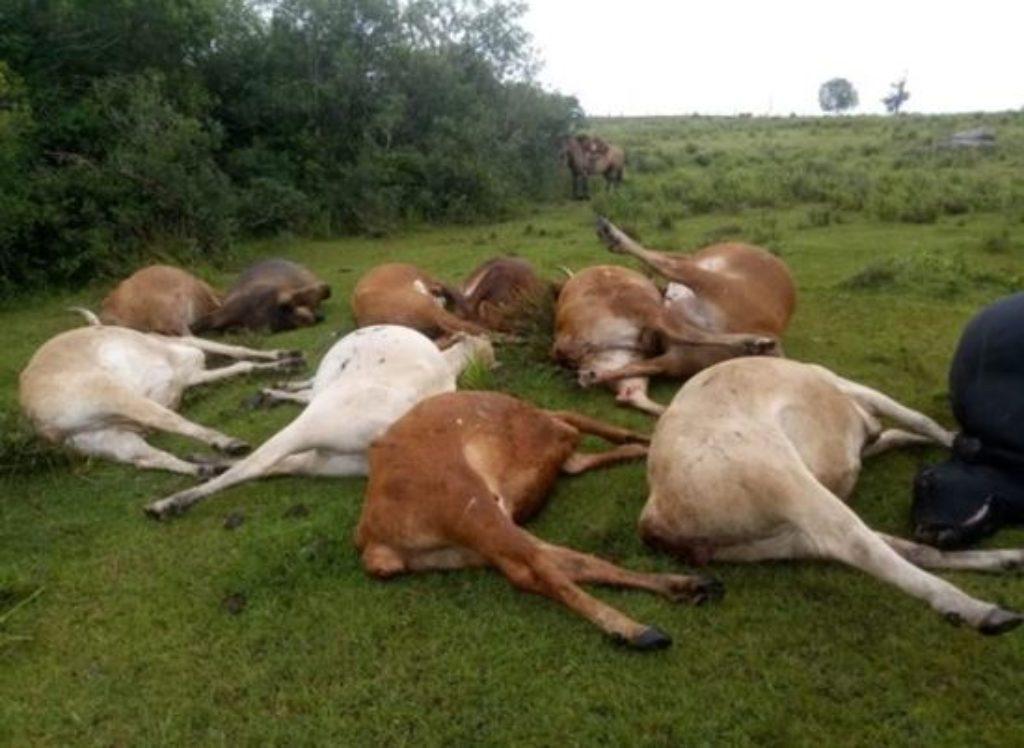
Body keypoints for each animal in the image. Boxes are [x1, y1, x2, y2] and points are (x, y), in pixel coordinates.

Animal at [18, 311, 303, 475]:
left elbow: (240, 365)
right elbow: (238, 352)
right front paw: (287, 357)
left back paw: (204, 471)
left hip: (108, 438)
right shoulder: (185, 348)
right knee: (169, 421)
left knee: (147, 459)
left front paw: (286, 361)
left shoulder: (189, 375)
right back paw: (228, 444)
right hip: (116, 395)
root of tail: (36, 417)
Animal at [146, 323, 493, 516]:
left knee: (258, 463)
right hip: (334, 461)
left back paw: (171, 502)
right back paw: (204, 465)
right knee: (285, 464)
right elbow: (301, 390)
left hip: (315, 425)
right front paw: (277, 389)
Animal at [356, 391, 724, 647]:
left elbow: (612, 444)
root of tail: (371, 540)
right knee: (543, 569)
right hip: (468, 504)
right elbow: (615, 432)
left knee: (553, 564)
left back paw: (687, 586)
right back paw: (638, 630)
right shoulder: (561, 423)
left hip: (465, 545)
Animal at [638, 358, 1024, 631]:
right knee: (862, 545)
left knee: (902, 549)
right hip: (787, 480)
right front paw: (959, 441)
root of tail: (652, 515)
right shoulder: (855, 388)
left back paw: (1007, 561)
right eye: (925, 482)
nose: (928, 528)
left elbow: (898, 433)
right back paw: (978, 610)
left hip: (783, 538)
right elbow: (918, 419)